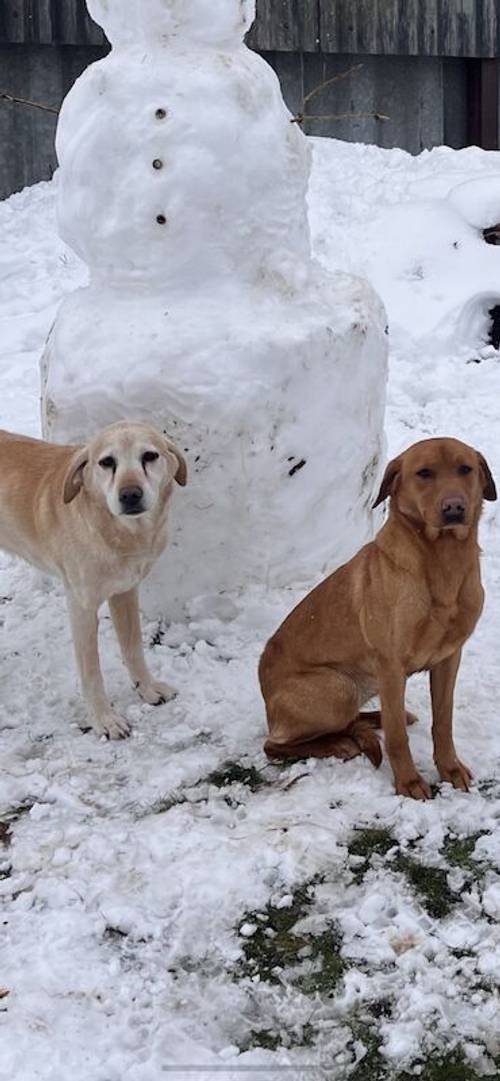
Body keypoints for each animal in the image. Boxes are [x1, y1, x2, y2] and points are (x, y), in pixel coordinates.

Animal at [0, 419, 186, 735]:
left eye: (150, 456)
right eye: (106, 462)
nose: (130, 495)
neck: (117, 532)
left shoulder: (125, 592)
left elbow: (133, 648)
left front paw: (146, 688)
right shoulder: (82, 607)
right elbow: (91, 672)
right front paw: (104, 719)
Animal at [262, 434, 496, 799]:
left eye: (465, 469)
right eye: (424, 473)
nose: (455, 508)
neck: (442, 561)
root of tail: (267, 705)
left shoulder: (449, 658)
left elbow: (442, 722)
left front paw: (450, 768)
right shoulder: (390, 665)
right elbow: (397, 736)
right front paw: (409, 782)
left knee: (362, 719)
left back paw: (368, 723)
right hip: (337, 688)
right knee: (275, 745)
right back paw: (341, 744)